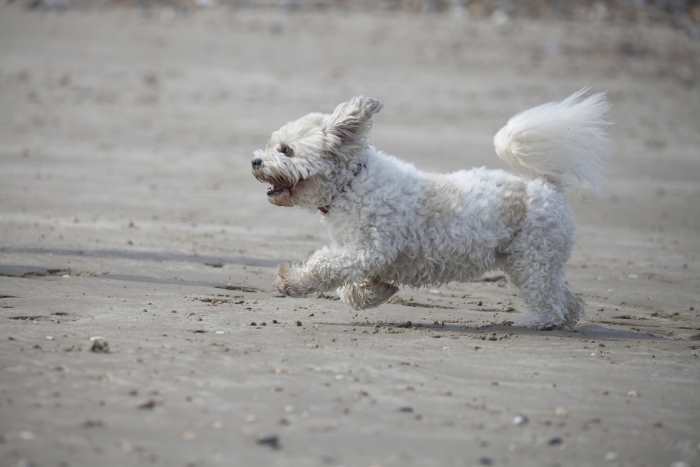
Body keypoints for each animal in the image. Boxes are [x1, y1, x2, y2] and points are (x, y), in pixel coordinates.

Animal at [252, 91, 608, 330]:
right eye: (272, 145)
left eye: (286, 150)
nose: (255, 161)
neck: (352, 183)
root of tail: (546, 186)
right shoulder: (366, 255)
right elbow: (352, 288)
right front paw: (376, 291)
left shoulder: (367, 249)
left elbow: (324, 266)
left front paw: (291, 281)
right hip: (536, 261)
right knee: (564, 296)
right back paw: (568, 317)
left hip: (531, 260)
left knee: (550, 302)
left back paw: (536, 321)